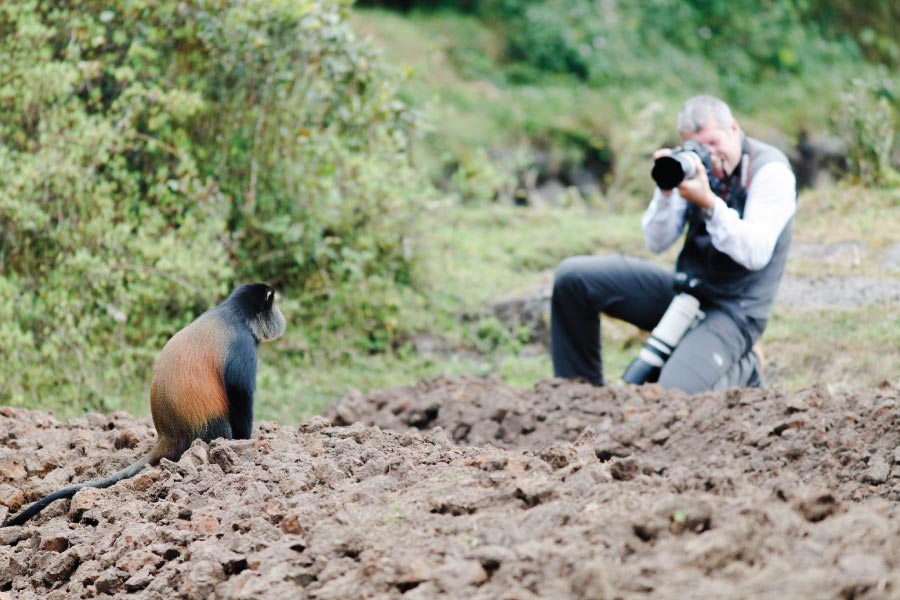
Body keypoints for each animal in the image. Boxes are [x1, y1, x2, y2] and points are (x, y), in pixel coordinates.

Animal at [2, 283, 286, 527]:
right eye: (273, 304)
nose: (282, 319)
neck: (234, 313)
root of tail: (168, 435)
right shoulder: (243, 347)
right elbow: (240, 394)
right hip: (210, 430)